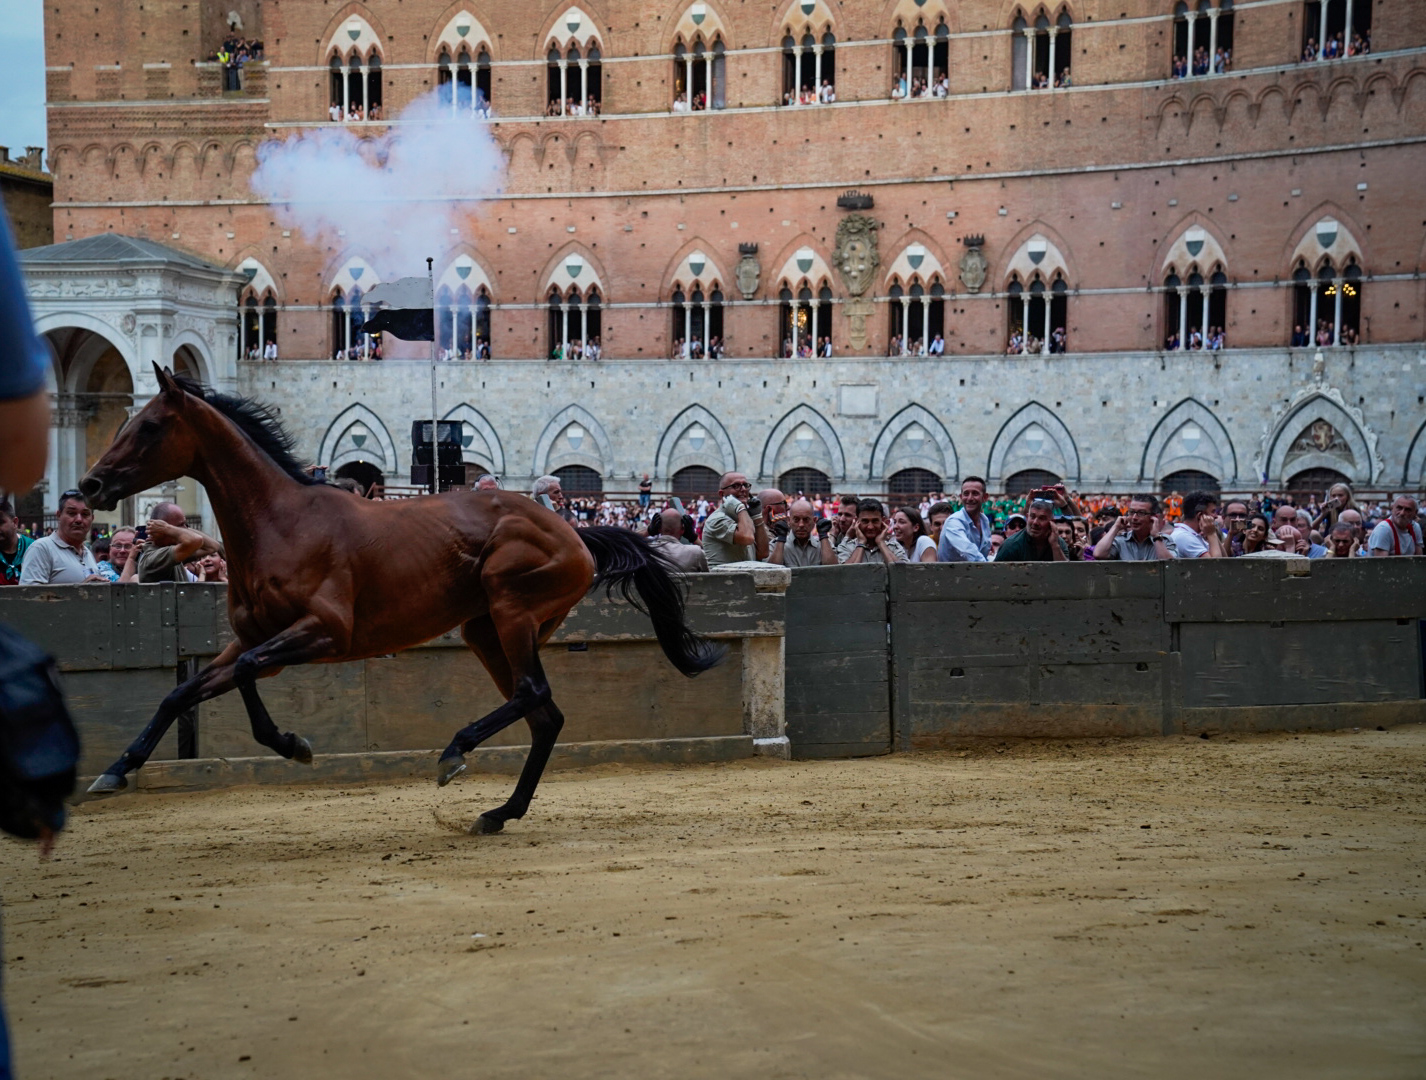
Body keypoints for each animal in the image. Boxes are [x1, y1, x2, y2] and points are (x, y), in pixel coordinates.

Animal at [79, 365, 724, 827]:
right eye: (125, 422)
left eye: (150, 426)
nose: (90, 484)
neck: (282, 523)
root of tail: (575, 532)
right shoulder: (256, 637)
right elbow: (183, 691)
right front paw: (114, 771)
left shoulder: (323, 632)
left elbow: (242, 674)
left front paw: (293, 744)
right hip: (484, 629)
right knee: (544, 714)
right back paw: (500, 813)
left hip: (511, 609)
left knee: (534, 693)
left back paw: (456, 752)